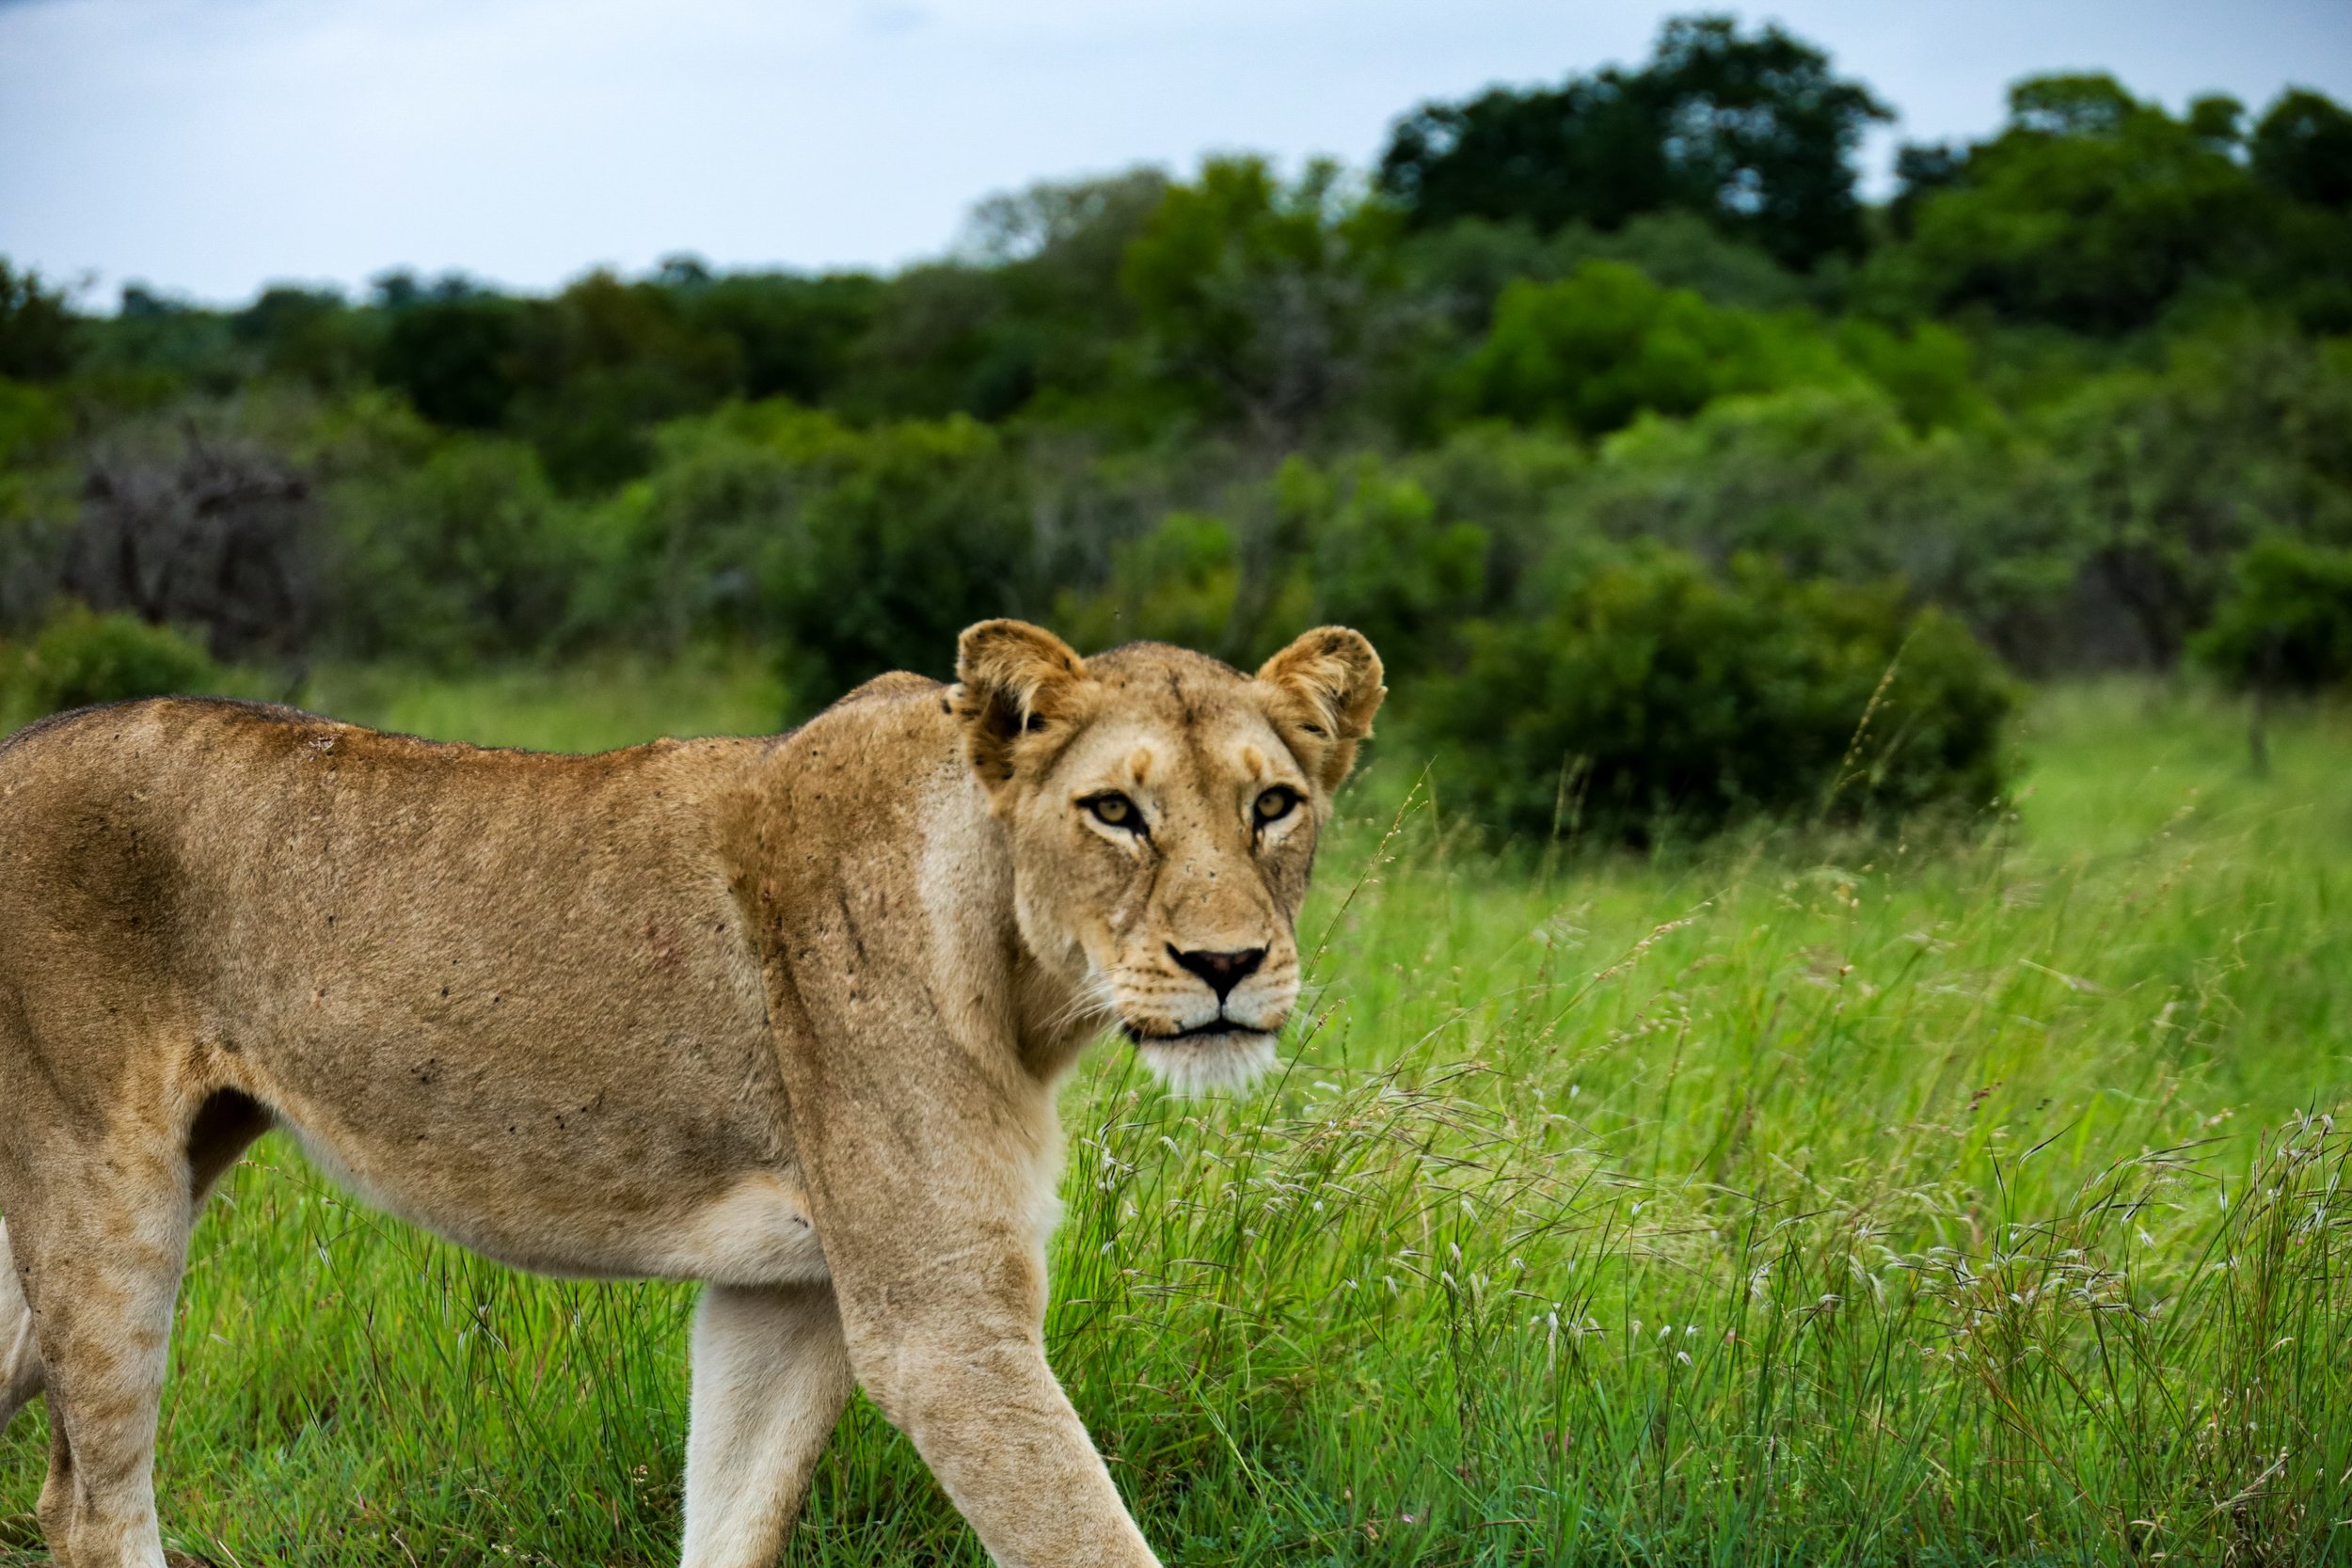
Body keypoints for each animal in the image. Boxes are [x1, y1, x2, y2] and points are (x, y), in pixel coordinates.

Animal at [0, 619, 1383, 1568]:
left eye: (1273, 804)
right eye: (1115, 810)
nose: (1226, 964)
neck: (1020, 974)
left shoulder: (786, 1294)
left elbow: (730, 1521)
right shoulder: (941, 1322)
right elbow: (1088, 1537)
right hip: (106, 1184)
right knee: (93, 1502)